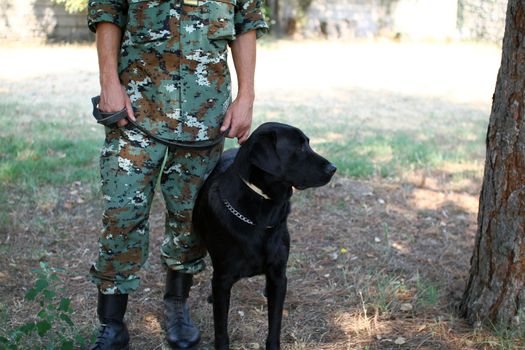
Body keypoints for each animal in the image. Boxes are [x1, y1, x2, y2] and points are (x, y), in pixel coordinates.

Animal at [192, 121, 336, 348]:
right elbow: (221, 330)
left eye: (308, 143)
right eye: (300, 147)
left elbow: (275, 323)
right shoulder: (223, 279)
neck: (262, 214)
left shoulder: (277, 274)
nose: (333, 168)